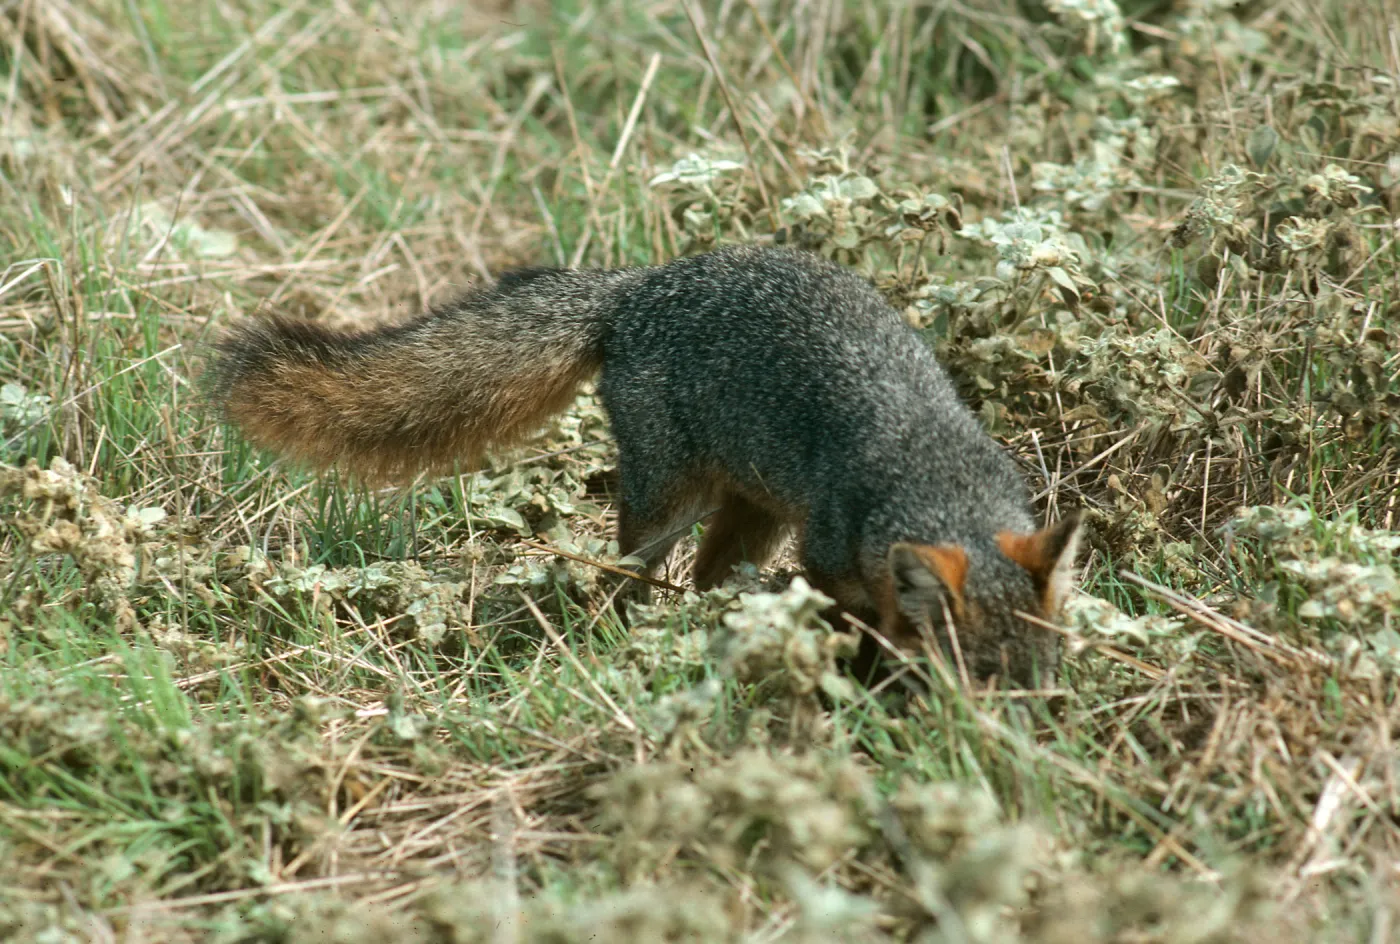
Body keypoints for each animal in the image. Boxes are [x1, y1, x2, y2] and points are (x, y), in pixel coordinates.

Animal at [206, 244, 1082, 687]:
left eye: (1043, 680)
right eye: (982, 676)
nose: (1015, 751)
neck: (935, 473)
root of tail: (640, 283)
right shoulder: (829, 558)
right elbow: (857, 622)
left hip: (756, 511)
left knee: (709, 575)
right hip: (666, 502)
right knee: (637, 570)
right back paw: (636, 628)